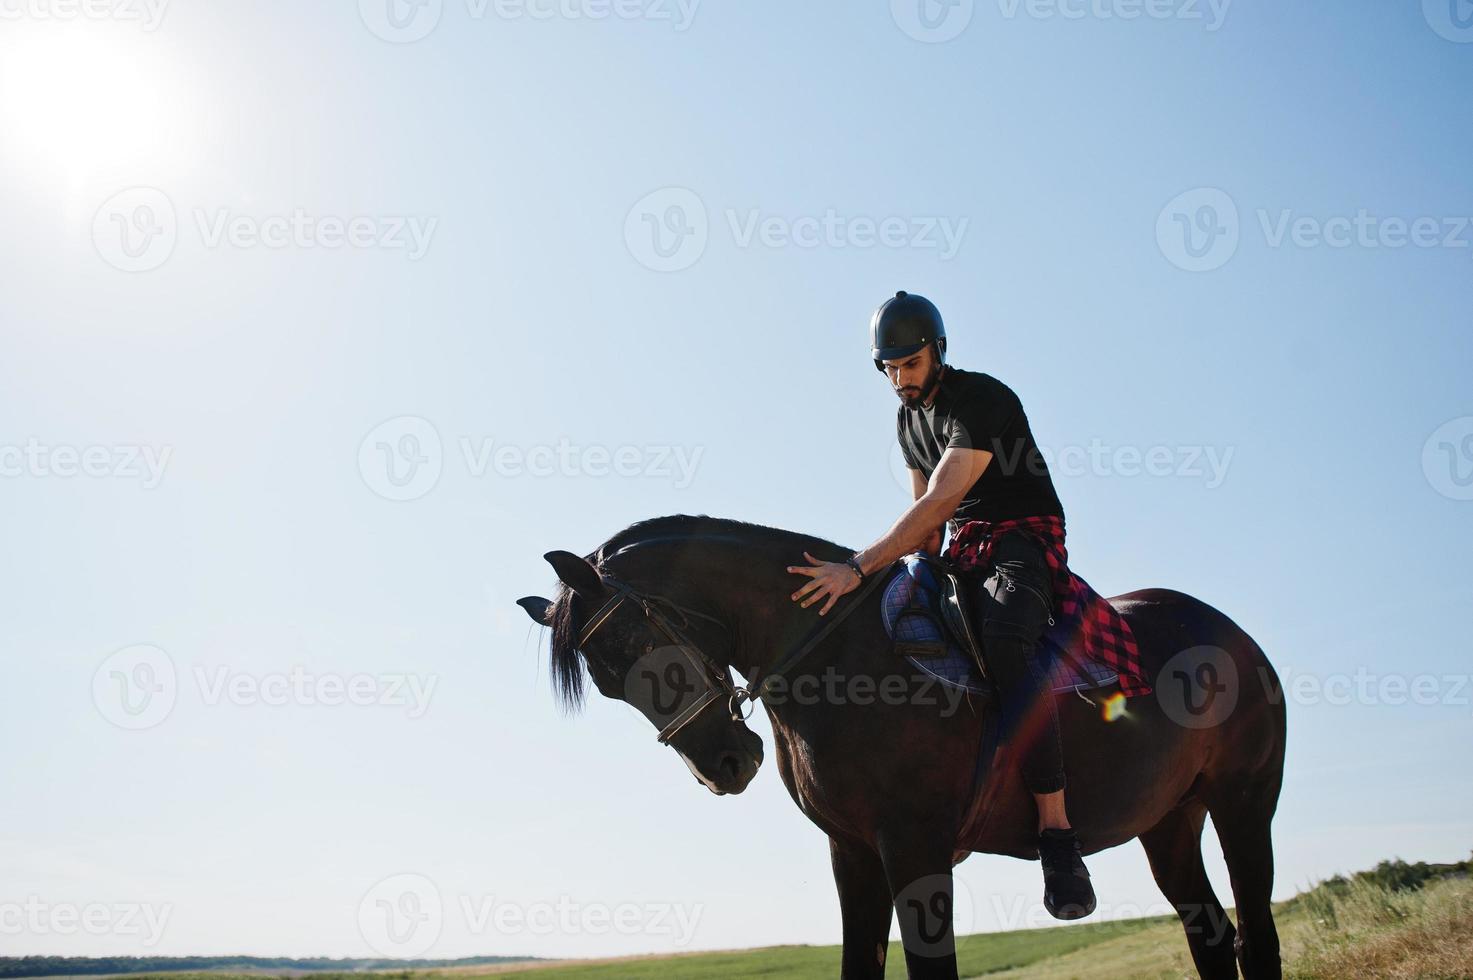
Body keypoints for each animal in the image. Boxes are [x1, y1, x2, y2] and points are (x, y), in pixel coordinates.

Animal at [521, 515, 1290, 972]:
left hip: (1243, 807)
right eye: (607, 681)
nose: (724, 767)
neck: (836, 654)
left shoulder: (914, 848)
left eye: (631, 641)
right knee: (1212, 939)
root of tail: (1231, 633)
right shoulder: (854, 854)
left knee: (1256, 935)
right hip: (1169, 823)